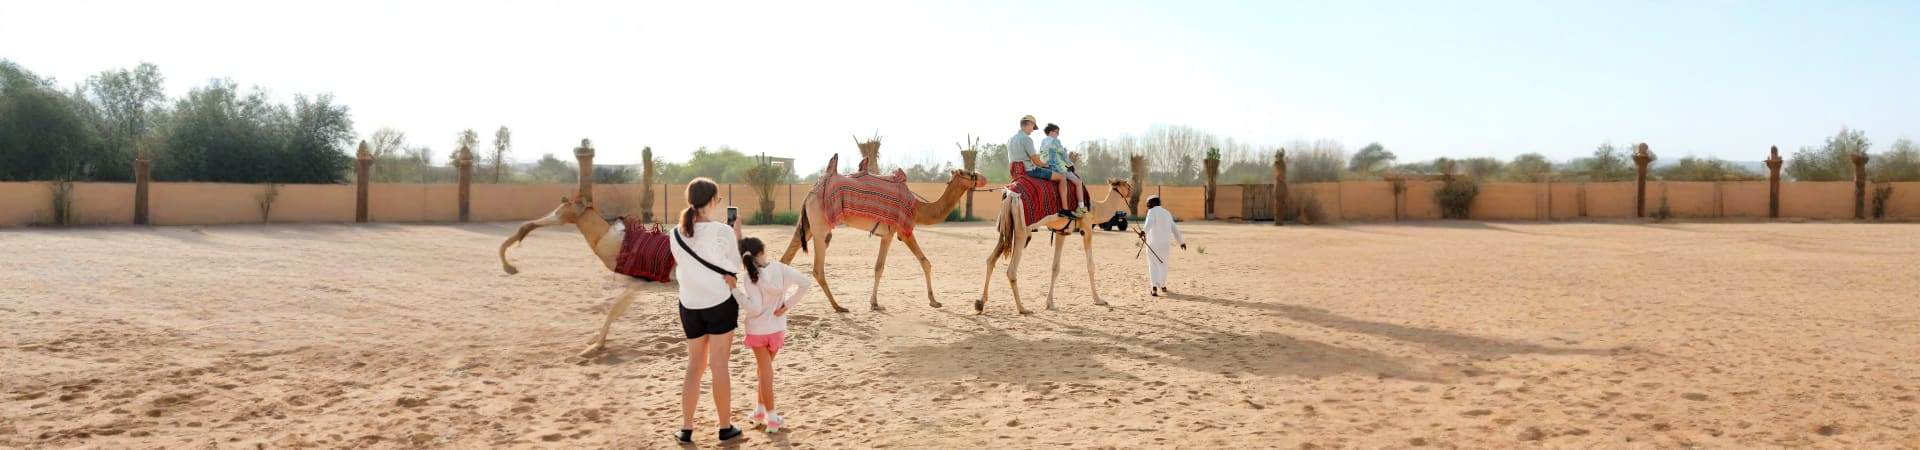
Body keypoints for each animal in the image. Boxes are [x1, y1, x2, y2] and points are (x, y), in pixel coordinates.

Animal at [499, 196, 667, 357]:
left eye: (564, 208)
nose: (526, 226)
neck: (617, 243)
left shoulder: (638, 281)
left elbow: (614, 309)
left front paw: (594, 347)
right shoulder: (638, 283)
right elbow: (616, 308)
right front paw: (596, 343)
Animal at [780, 161, 988, 312]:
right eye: (969, 173)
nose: (983, 178)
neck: (918, 208)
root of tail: (810, 193)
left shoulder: (886, 234)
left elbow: (878, 267)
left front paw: (874, 303)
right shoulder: (901, 231)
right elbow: (924, 262)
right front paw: (934, 301)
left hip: (807, 226)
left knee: (785, 259)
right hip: (820, 226)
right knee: (817, 269)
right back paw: (838, 306)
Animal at [977, 177, 1132, 314]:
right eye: (1127, 185)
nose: (1131, 191)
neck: (1095, 208)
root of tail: (1009, 196)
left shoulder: (1061, 232)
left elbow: (1055, 267)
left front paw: (1050, 303)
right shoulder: (1087, 227)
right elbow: (1090, 266)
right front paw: (1098, 300)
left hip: (1006, 226)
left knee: (991, 260)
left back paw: (980, 303)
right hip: (1022, 230)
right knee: (1011, 270)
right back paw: (1022, 309)